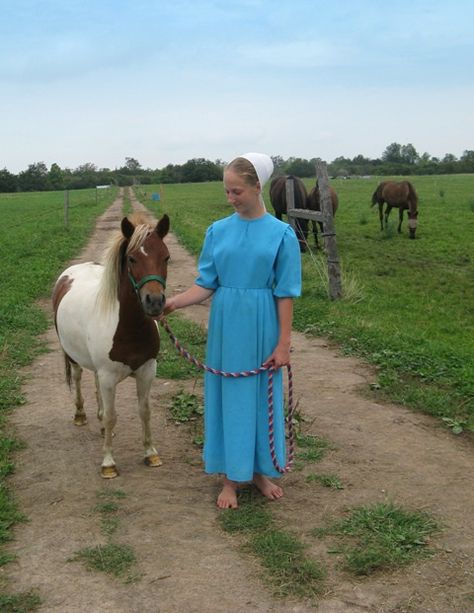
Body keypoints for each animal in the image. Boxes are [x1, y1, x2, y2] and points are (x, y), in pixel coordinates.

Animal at [52, 213, 170, 476]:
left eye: (166, 257)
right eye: (132, 258)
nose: (155, 302)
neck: (128, 327)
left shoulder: (147, 370)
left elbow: (144, 411)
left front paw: (151, 454)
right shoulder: (108, 376)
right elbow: (111, 416)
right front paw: (108, 463)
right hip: (73, 357)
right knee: (78, 378)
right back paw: (80, 414)